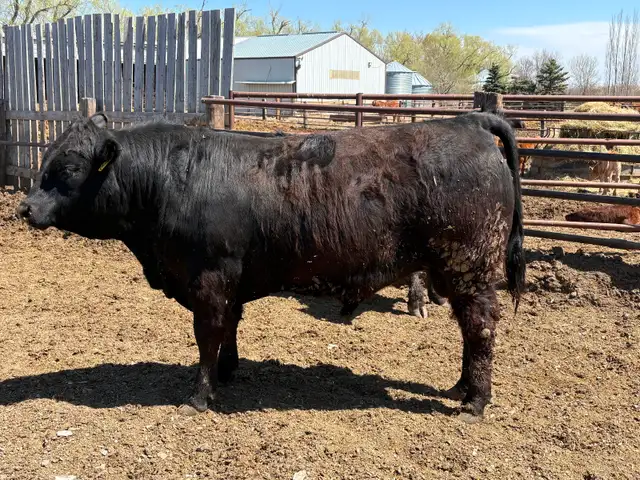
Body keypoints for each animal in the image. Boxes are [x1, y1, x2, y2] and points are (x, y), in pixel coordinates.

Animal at [17, 111, 525, 423]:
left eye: (68, 168)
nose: (25, 208)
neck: (172, 179)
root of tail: (470, 120)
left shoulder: (208, 281)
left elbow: (207, 335)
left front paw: (199, 396)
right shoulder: (228, 283)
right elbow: (229, 328)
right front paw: (228, 371)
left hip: (470, 268)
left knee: (480, 329)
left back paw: (475, 400)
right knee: (469, 330)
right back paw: (461, 387)